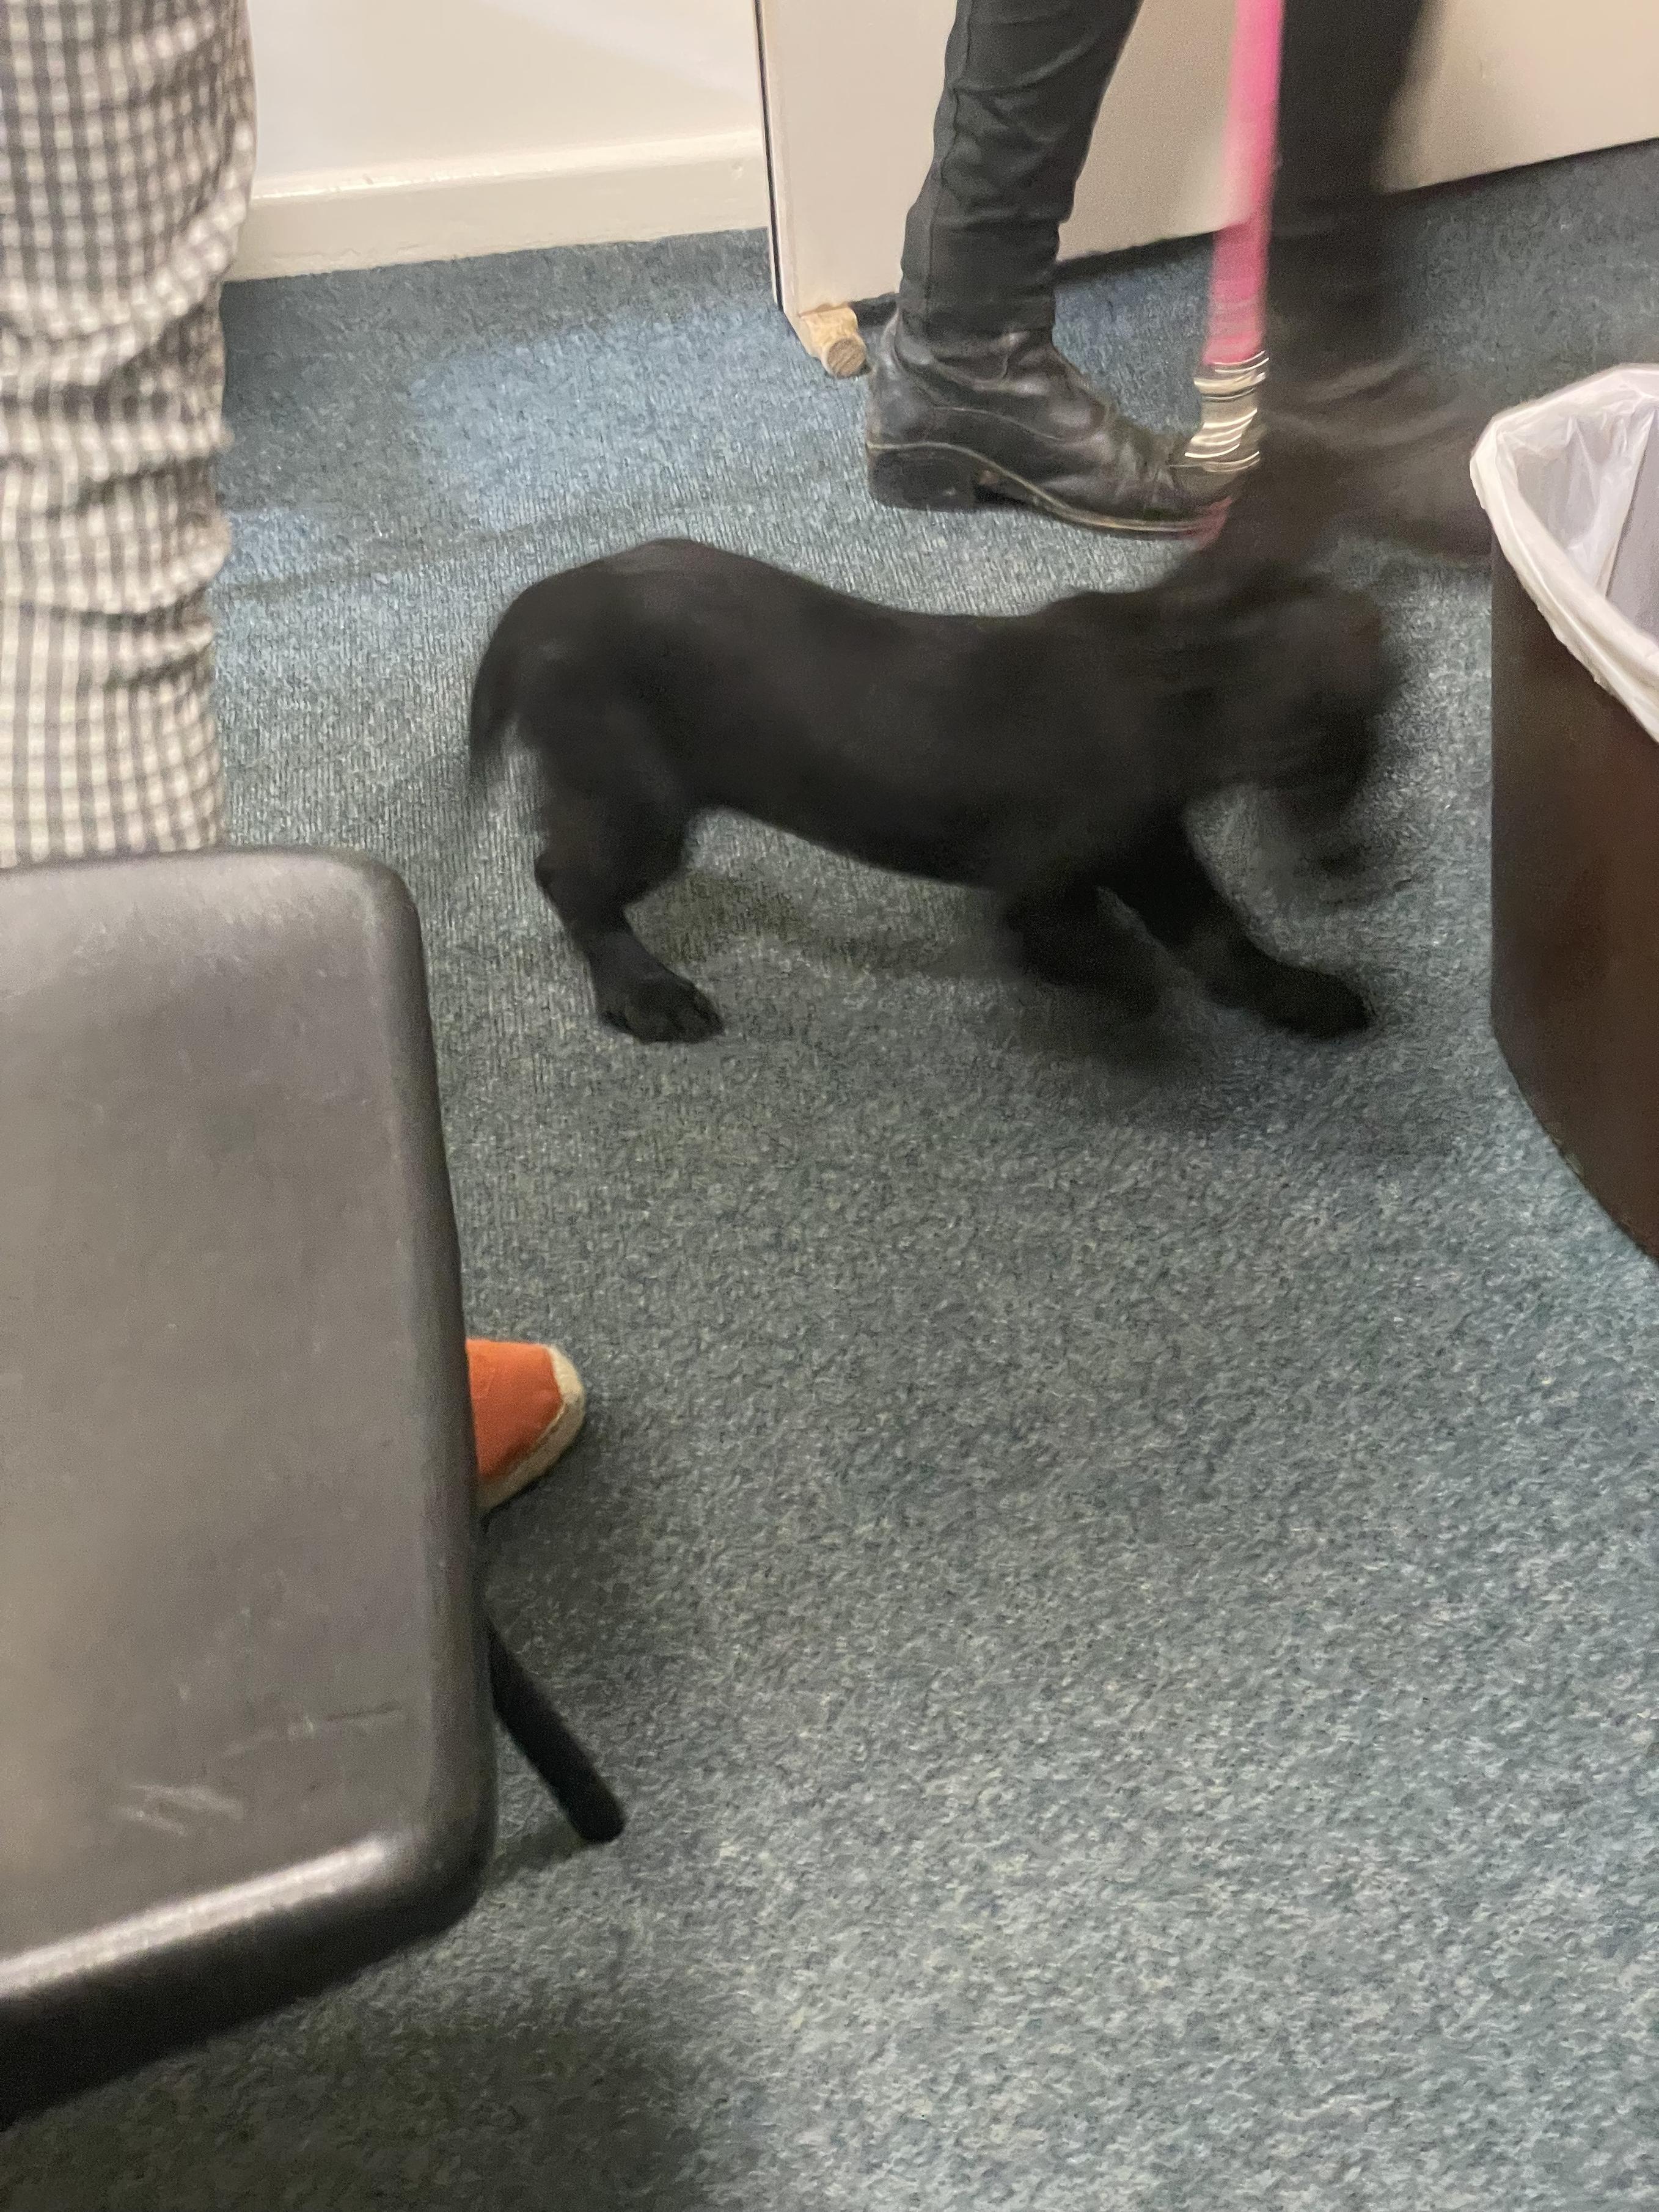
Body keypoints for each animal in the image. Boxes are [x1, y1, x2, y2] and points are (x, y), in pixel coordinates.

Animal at [469, 538, 1390, 1044]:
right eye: (1298, 749)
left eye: (1381, 741)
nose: (1356, 871)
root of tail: (540, 603)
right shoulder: (1037, 881)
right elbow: (1078, 944)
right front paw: (1125, 986)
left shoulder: (1152, 846)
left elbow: (1220, 935)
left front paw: (1298, 991)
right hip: (641, 805)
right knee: (564, 875)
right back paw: (645, 993)